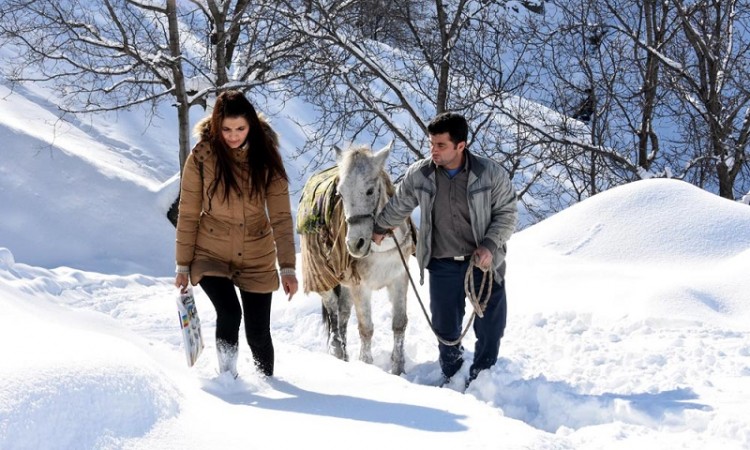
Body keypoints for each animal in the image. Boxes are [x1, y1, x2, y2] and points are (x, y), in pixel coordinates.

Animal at [298, 142, 418, 374]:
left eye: (370, 190)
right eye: (341, 194)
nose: (355, 244)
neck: (382, 247)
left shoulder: (399, 278)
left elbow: (399, 323)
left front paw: (398, 369)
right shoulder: (360, 286)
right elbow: (366, 328)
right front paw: (366, 364)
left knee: (343, 313)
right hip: (322, 277)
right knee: (333, 310)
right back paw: (337, 350)